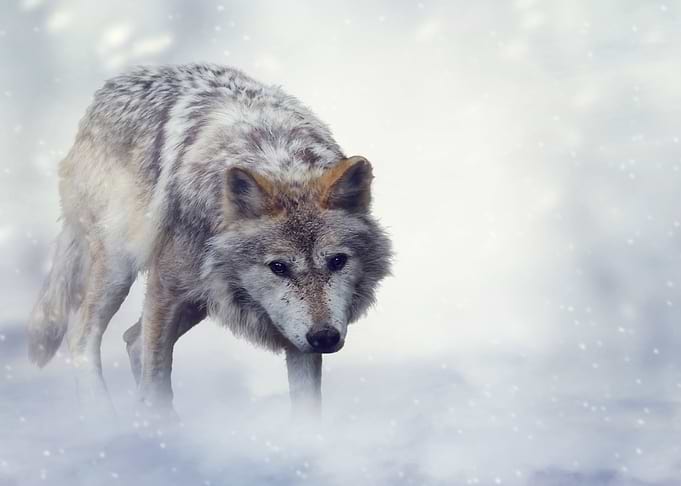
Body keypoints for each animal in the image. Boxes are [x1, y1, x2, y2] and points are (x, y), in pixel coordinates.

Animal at [27, 63, 391, 418]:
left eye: (337, 261)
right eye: (278, 267)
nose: (324, 337)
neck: (277, 162)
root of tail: (104, 93)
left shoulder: (293, 334)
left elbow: (307, 408)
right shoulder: (166, 288)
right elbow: (156, 376)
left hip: (200, 298)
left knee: (132, 339)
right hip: (120, 267)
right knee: (82, 335)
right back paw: (105, 417)